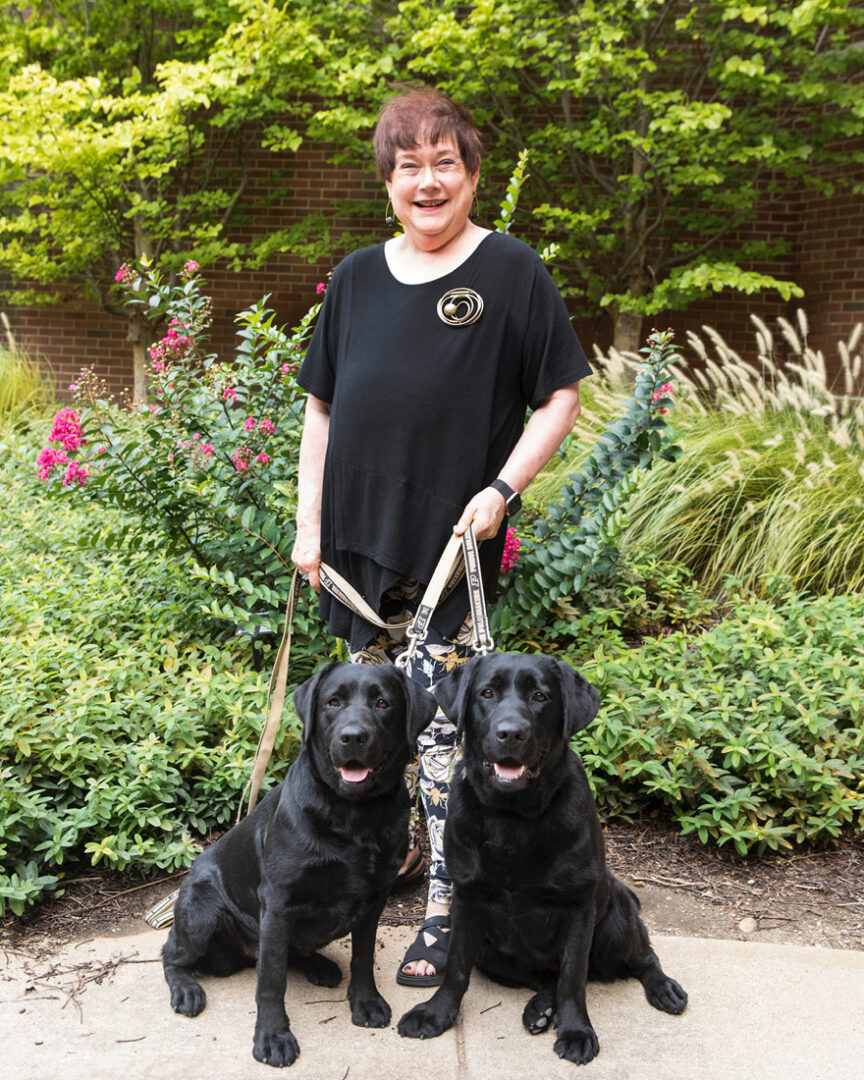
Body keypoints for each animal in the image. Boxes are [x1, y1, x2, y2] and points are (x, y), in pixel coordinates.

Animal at [160, 660, 436, 1067]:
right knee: (172, 956)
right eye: (333, 702)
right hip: (201, 915)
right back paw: (185, 990)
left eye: (383, 703)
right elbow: (271, 981)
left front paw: (365, 1001)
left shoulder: (375, 900)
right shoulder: (278, 904)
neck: (354, 816)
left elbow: (363, 957)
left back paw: (320, 966)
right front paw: (273, 1036)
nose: (353, 737)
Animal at [397, 652, 686, 1067]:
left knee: (643, 957)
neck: (513, 817)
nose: (511, 733)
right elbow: (455, 968)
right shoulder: (467, 901)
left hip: (616, 923)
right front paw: (437, 1013)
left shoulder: (579, 908)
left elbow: (572, 977)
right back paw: (540, 1009)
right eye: (486, 693)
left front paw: (576, 1030)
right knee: (543, 978)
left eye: (540, 696)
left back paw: (663, 988)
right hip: (491, 951)